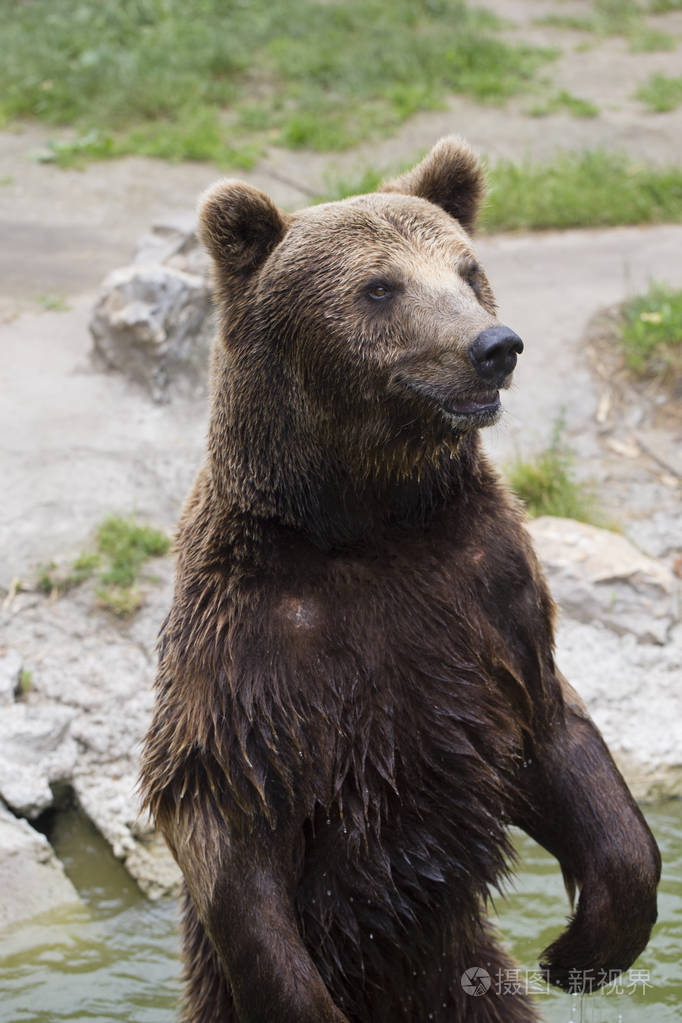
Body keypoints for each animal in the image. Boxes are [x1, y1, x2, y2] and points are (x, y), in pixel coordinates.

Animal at [140, 137, 661, 1023]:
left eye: (468, 268)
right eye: (379, 286)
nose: (495, 346)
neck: (369, 520)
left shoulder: (488, 590)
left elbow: (554, 734)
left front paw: (580, 948)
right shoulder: (247, 652)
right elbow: (232, 832)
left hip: (466, 985)